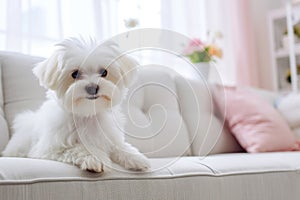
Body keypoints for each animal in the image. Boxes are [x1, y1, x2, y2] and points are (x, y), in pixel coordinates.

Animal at [1, 37, 151, 172]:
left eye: (104, 72)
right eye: (75, 74)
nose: (92, 88)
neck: (86, 114)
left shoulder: (109, 136)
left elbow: (120, 146)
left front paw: (135, 157)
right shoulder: (48, 149)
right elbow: (76, 148)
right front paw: (94, 157)